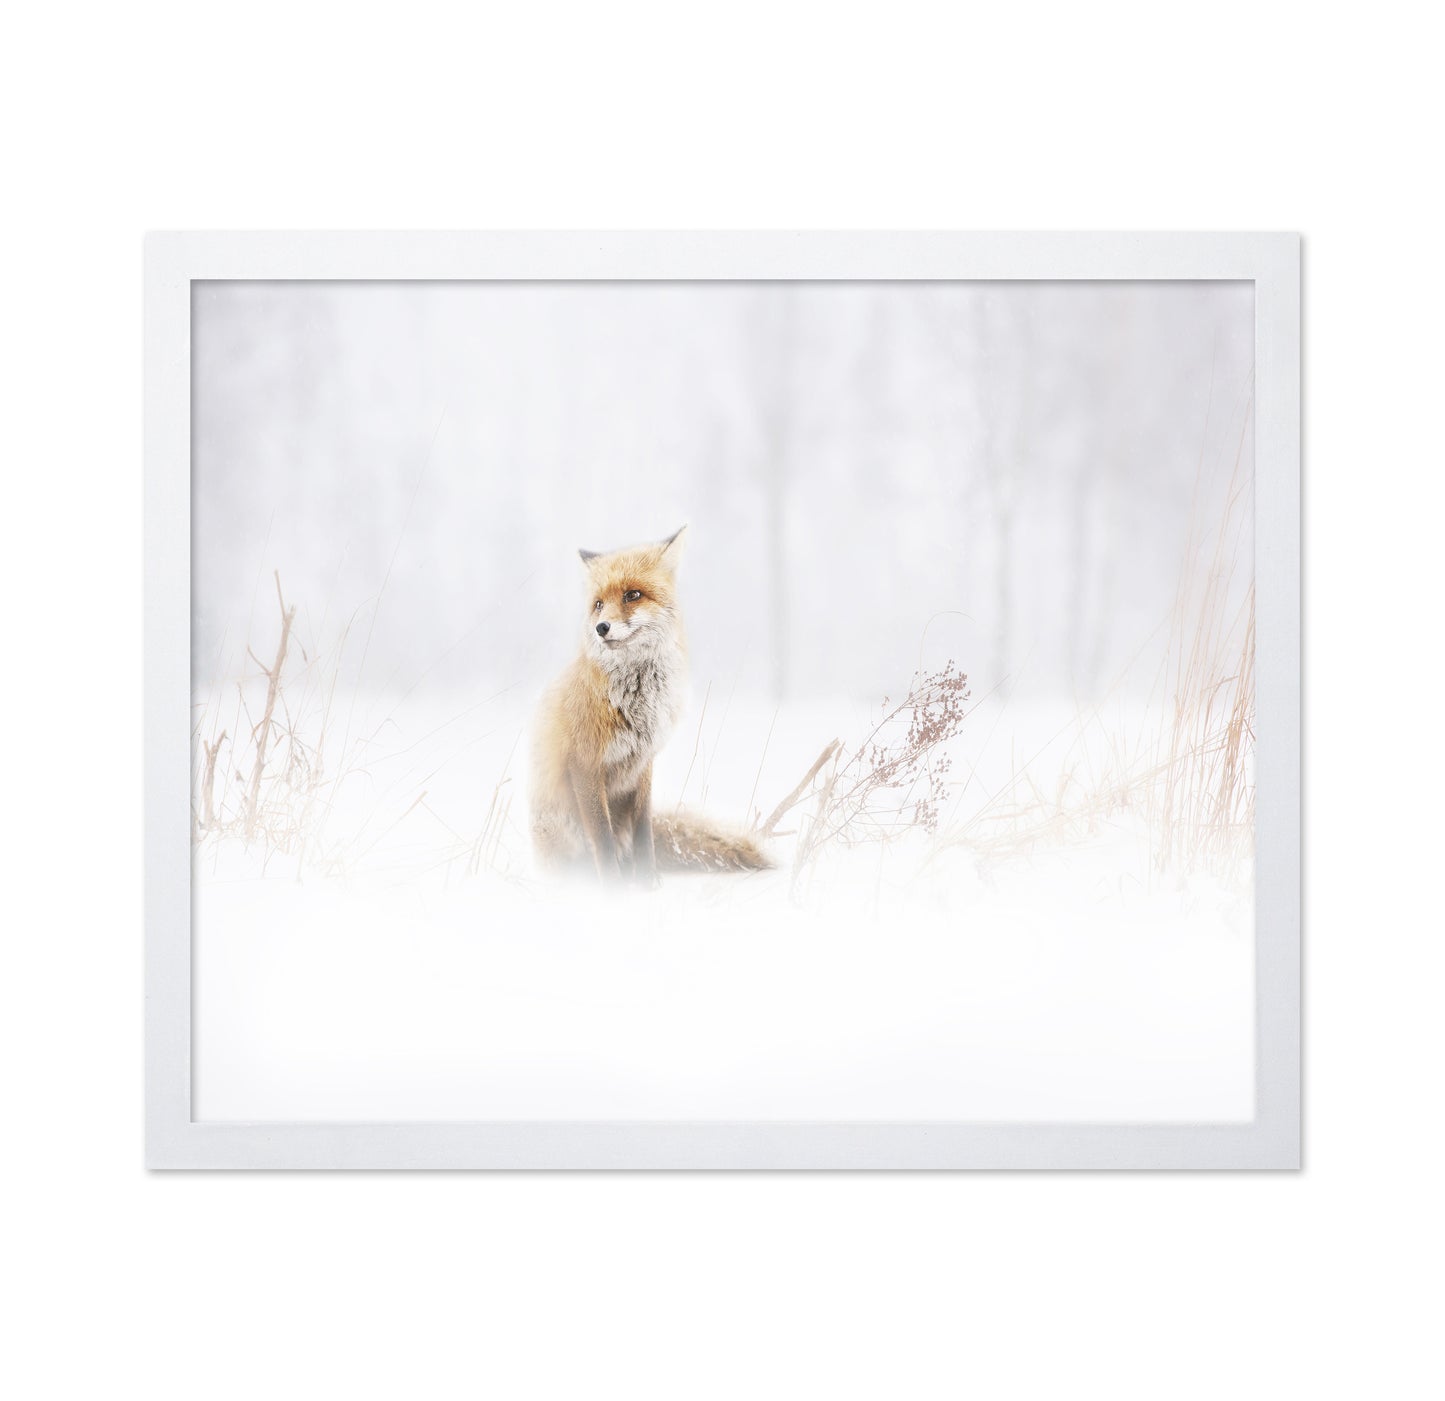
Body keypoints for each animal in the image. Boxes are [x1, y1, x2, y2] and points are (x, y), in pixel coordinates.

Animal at [529, 525, 771, 884]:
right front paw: (613, 888)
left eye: (632, 595)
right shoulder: (585, 764)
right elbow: (602, 837)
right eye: (598, 604)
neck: (638, 705)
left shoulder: (643, 764)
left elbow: (643, 829)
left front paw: (647, 883)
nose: (601, 628)